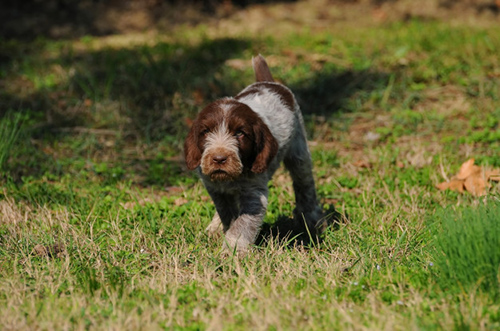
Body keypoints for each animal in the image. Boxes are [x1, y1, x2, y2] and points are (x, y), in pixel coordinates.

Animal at [185, 55, 324, 252]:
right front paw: (223, 231)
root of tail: (268, 82)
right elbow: (227, 213)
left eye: (239, 133)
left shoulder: (254, 194)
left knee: (304, 185)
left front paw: (232, 250)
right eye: (205, 132)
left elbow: (242, 224)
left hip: (299, 150)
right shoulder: (215, 189)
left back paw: (310, 217)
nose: (219, 158)